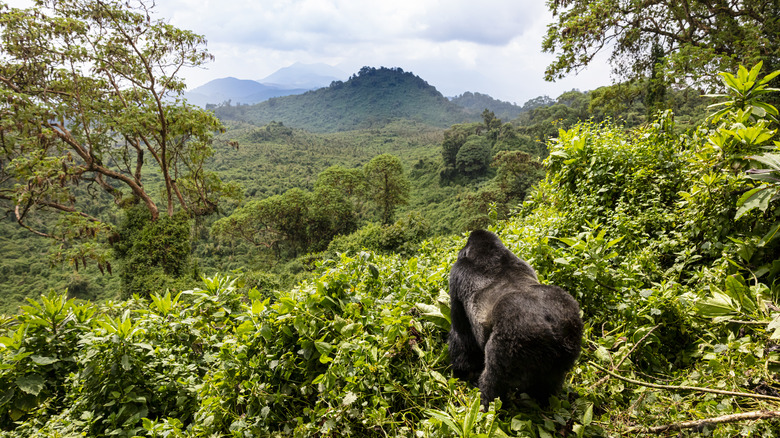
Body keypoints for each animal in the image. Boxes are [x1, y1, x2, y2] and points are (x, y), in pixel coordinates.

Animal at [448, 229, 580, 408]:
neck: (489, 253)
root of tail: (552, 327)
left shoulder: (456, 275)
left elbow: (461, 334)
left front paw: (464, 372)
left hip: (514, 339)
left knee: (494, 380)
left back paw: (487, 404)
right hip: (571, 331)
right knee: (551, 381)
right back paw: (543, 400)